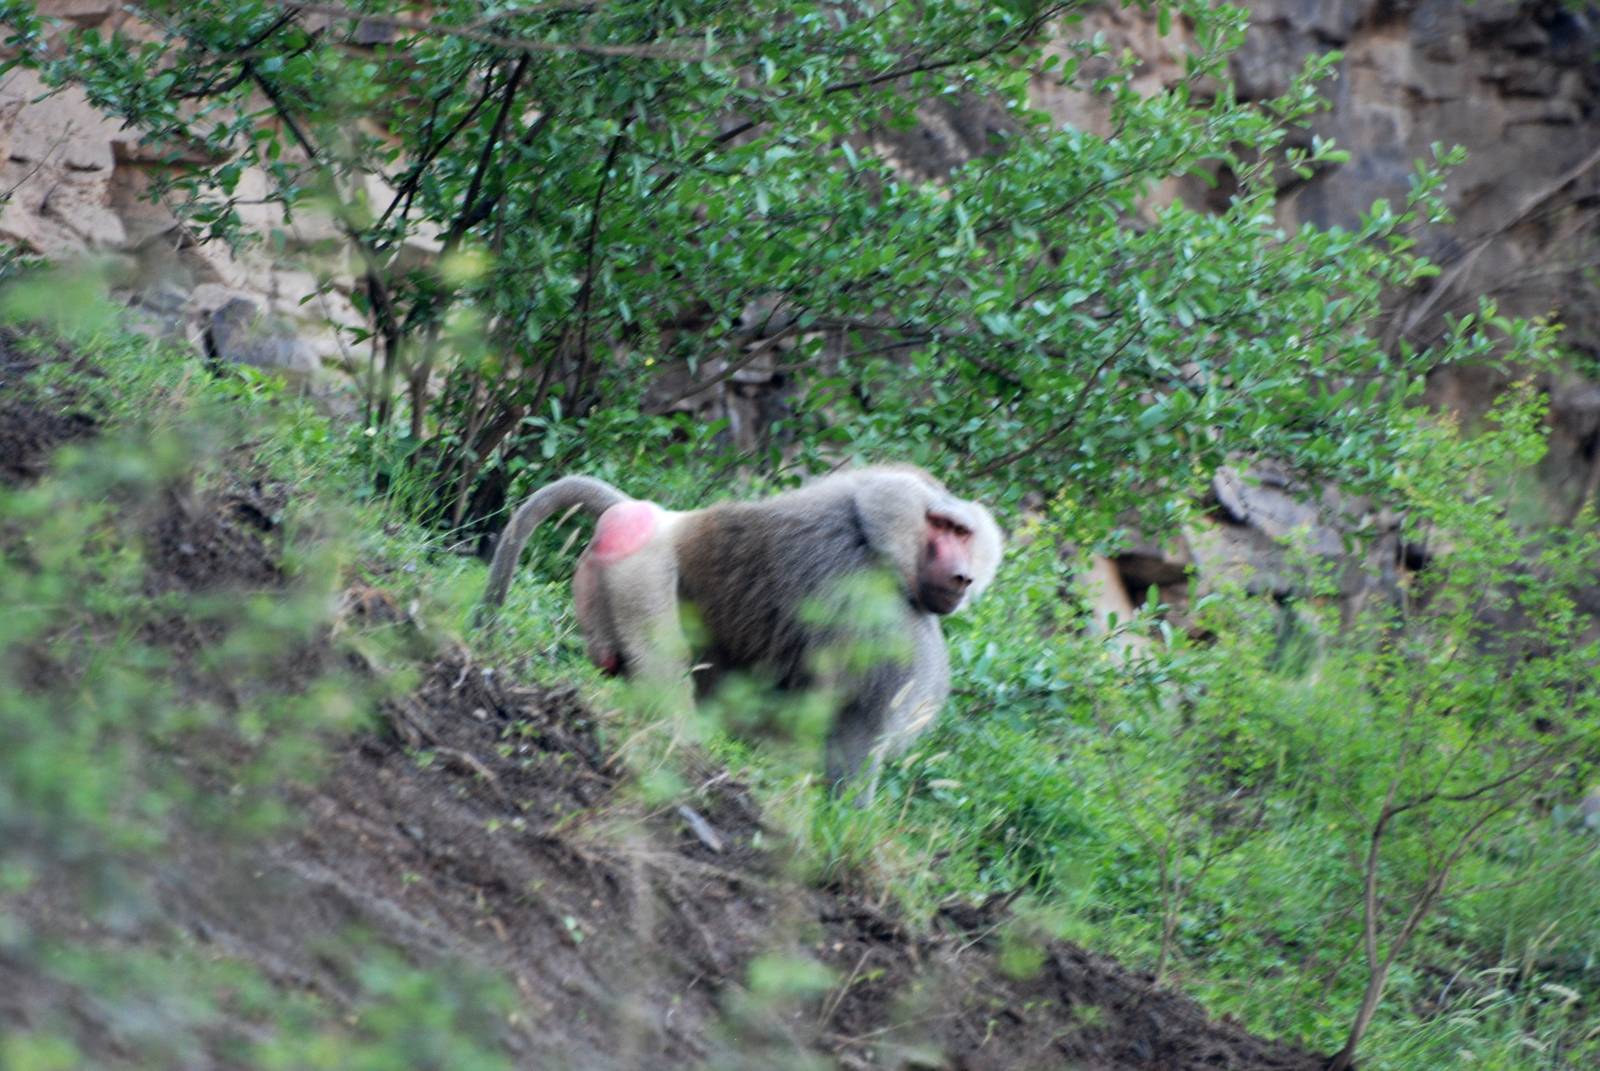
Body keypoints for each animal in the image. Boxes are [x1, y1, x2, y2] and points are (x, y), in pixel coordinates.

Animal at [478, 465, 1002, 786]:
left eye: (964, 533)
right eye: (941, 527)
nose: (962, 577)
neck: (871, 532)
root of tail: (648, 514)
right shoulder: (871, 604)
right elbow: (857, 730)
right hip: (638, 575)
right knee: (662, 668)